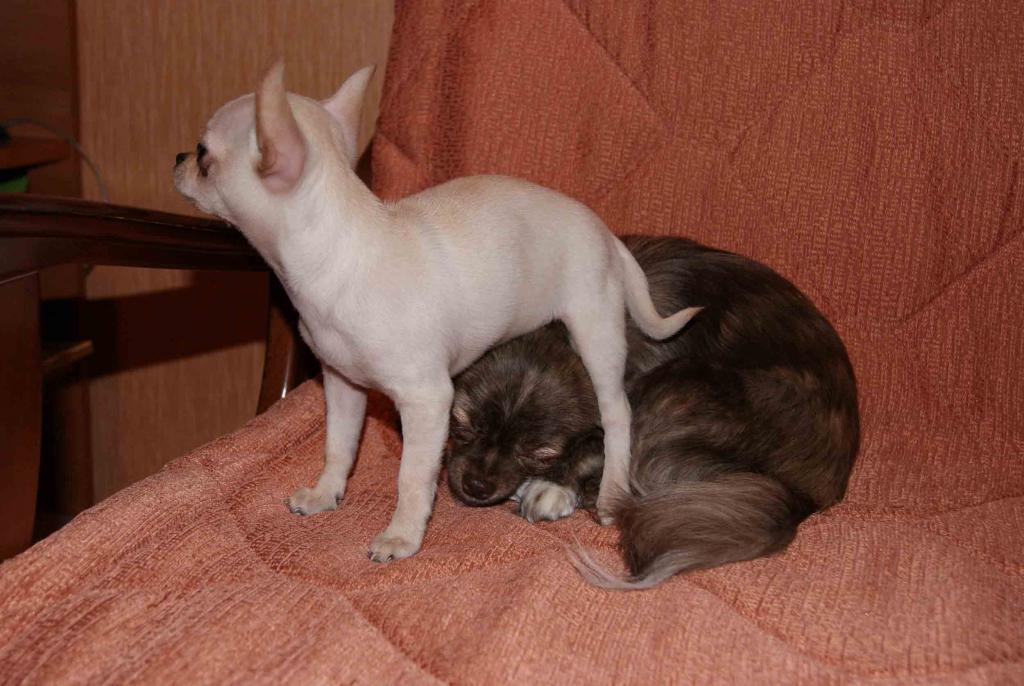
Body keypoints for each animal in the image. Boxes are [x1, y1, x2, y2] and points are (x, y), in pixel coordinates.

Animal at [173, 63, 700, 562]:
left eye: (203, 154)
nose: (178, 158)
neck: (340, 254)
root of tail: (606, 232)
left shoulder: (427, 401)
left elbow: (411, 477)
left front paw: (402, 537)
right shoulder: (343, 384)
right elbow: (339, 445)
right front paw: (326, 493)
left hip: (595, 329)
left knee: (617, 417)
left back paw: (610, 491)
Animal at [447, 236, 860, 588]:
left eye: (540, 452)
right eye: (463, 422)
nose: (477, 486)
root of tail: (802, 495)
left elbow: (597, 447)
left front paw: (552, 485)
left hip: (678, 383)